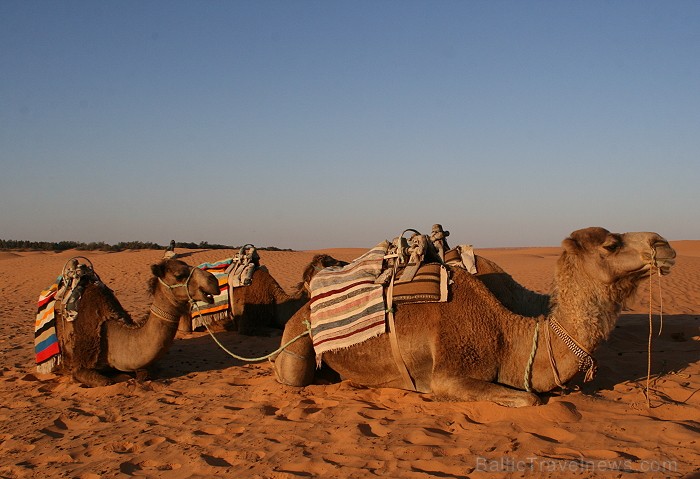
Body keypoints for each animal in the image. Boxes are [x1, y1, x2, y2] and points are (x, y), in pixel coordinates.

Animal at [272, 229, 672, 408]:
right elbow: (530, 399)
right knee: (292, 373)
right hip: (296, 339)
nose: (663, 243)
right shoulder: (449, 373)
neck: (509, 332)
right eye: (611, 244)